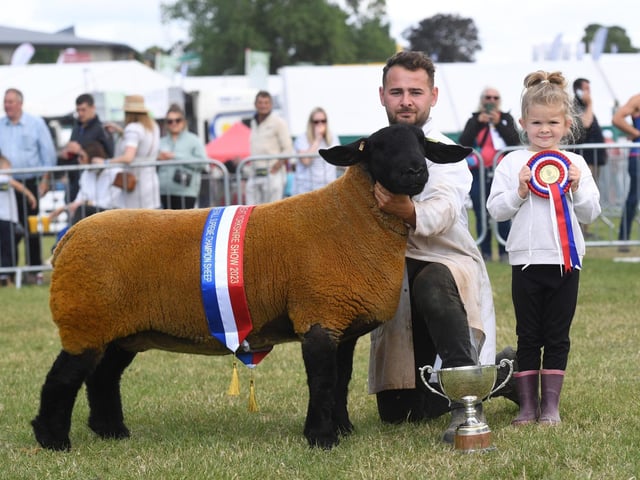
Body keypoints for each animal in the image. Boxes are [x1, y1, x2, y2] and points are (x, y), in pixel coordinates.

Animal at [32, 123, 471, 451]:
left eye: (422, 144)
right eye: (375, 147)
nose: (416, 172)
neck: (350, 218)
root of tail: (67, 237)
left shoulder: (341, 322)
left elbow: (341, 380)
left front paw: (342, 429)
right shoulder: (318, 315)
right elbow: (323, 381)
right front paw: (321, 438)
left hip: (122, 330)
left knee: (103, 377)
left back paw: (111, 431)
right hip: (86, 318)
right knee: (64, 378)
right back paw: (53, 439)